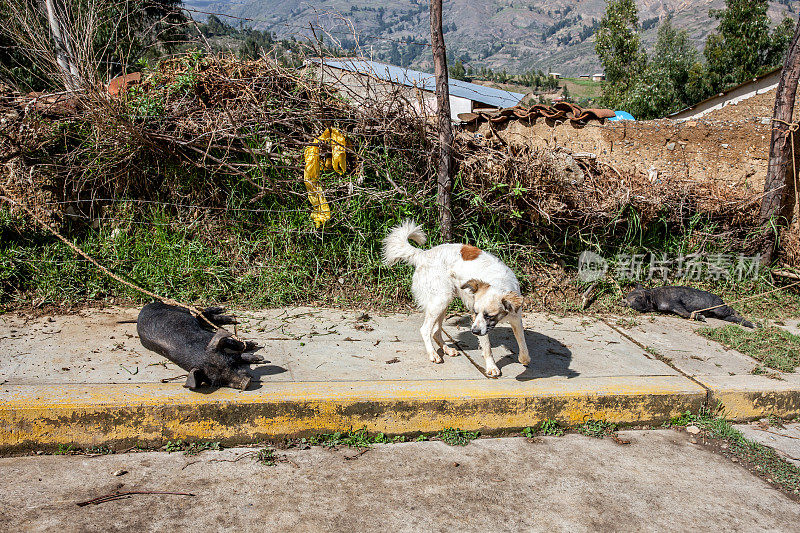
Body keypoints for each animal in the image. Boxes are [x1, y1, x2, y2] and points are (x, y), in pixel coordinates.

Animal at [136, 300, 264, 390]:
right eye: (218, 382)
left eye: (231, 364)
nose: (245, 383)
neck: (199, 353)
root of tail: (145, 307)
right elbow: (238, 354)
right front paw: (259, 357)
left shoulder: (210, 336)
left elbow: (235, 346)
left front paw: (257, 351)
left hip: (180, 309)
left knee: (199, 312)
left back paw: (227, 314)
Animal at [382, 218, 532, 376]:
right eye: (476, 312)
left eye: (489, 316)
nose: (474, 332)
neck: (499, 282)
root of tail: (423, 254)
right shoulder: (478, 322)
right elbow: (487, 347)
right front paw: (491, 367)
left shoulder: (516, 319)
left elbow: (523, 343)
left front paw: (524, 359)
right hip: (440, 300)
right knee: (425, 329)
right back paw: (433, 354)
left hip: (443, 302)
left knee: (435, 331)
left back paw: (447, 350)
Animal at [620, 282, 752, 328]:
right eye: (628, 295)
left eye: (638, 298)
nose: (623, 301)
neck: (654, 299)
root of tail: (722, 300)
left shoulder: (675, 303)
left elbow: (683, 312)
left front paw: (701, 317)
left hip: (719, 308)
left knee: (731, 310)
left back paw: (754, 325)